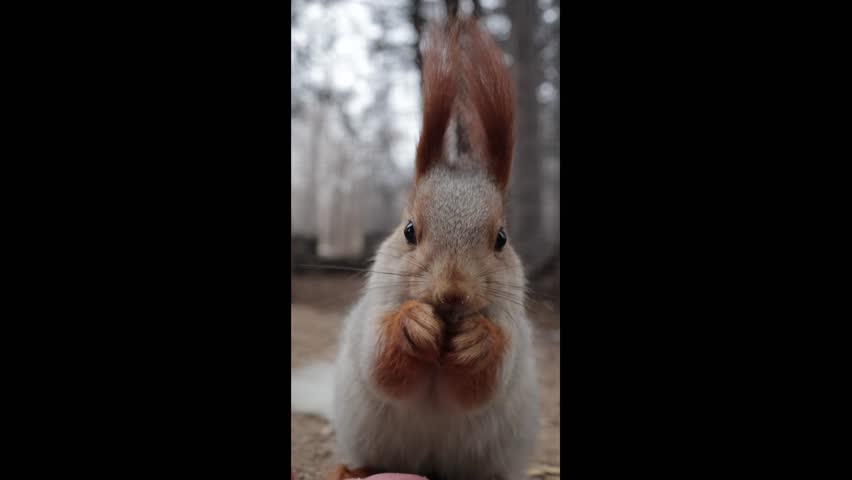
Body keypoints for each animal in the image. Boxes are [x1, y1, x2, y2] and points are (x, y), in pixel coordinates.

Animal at [329, 17, 539, 480]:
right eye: (409, 230)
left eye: (501, 239)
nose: (452, 294)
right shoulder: (376, 312)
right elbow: (381, 367)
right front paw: (412, 324)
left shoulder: (511, 329)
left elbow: (483, 385)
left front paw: (478, 340)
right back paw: (352, 470)